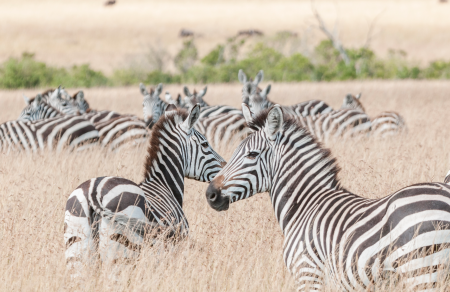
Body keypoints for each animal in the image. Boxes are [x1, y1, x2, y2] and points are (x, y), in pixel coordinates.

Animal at [64, 105, 225, 276]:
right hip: (123, 256)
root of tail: (93, 191)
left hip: (78, 254)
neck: (163, 184)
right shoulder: (175, 249)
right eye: (205, 144)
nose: (225, 167)